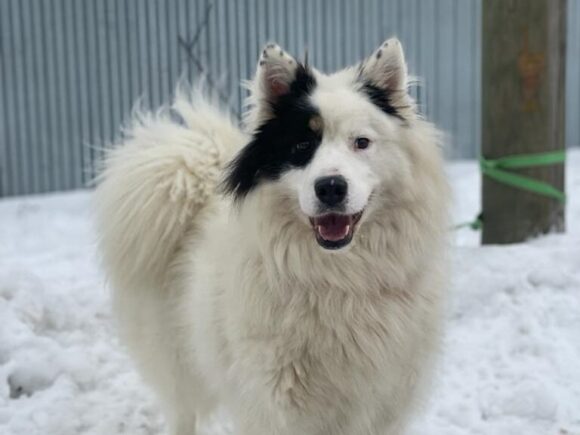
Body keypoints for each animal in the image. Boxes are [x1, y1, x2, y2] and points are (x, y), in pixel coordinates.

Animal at [94, 38, 448, 435]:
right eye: (301, 146)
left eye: (362, 142)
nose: (330, 187)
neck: (340, 280)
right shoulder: (277, 403)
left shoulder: (382, 404)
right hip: (178, 362)